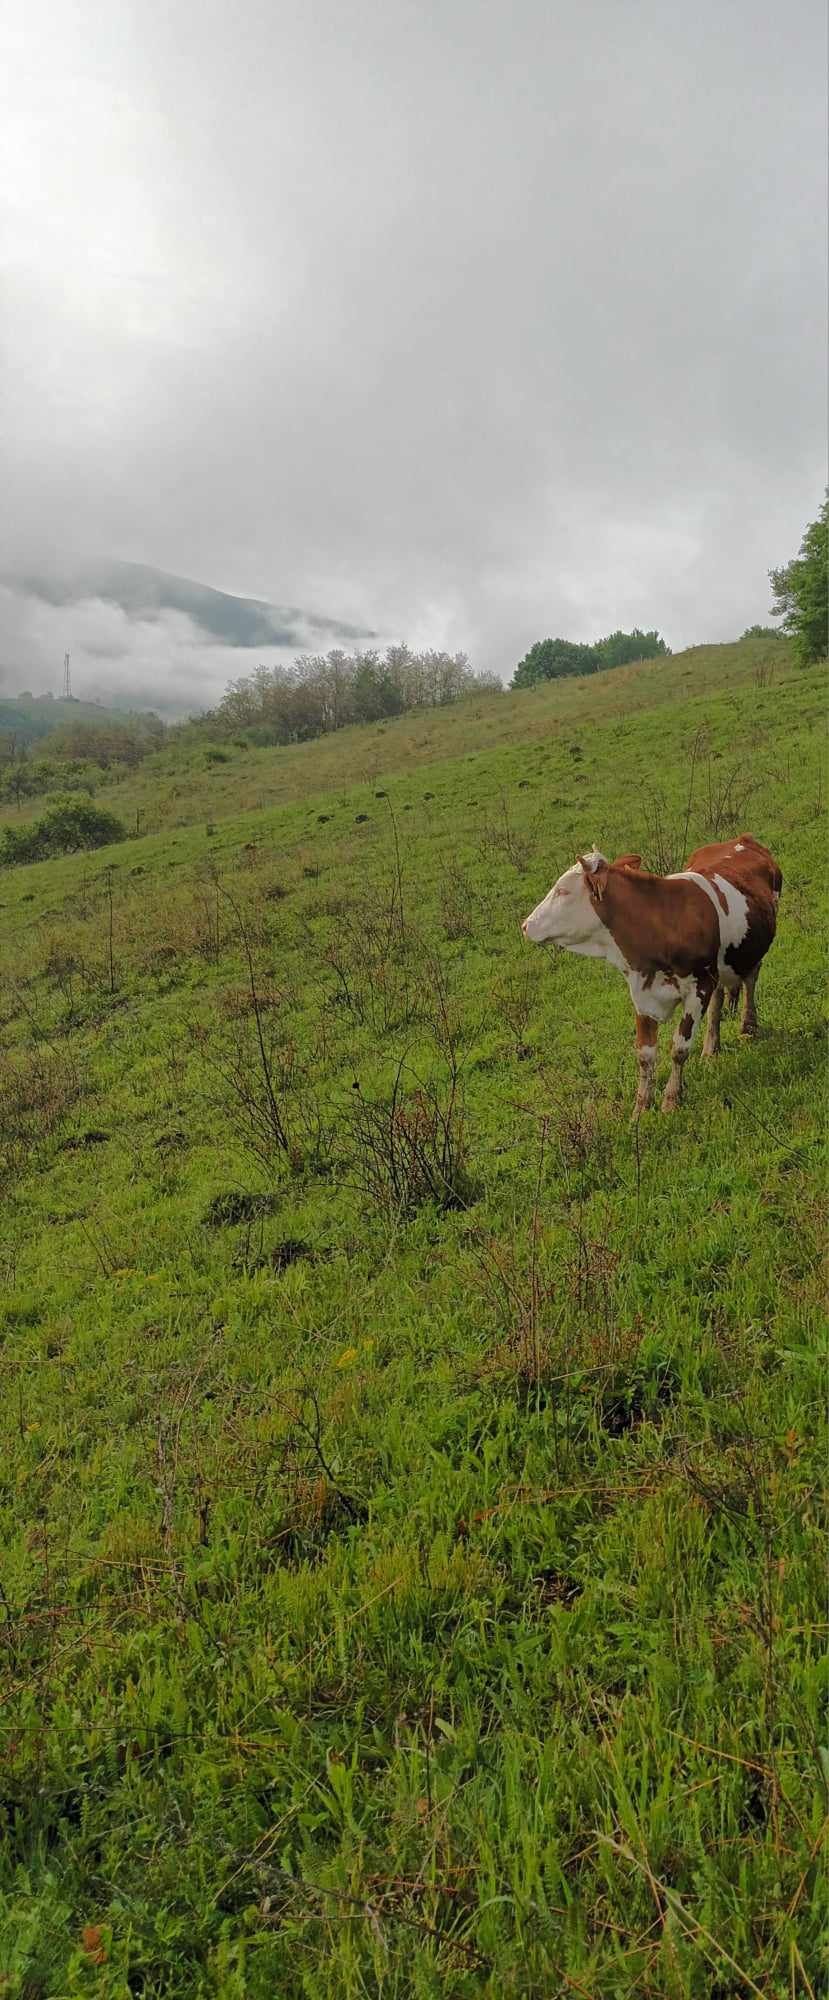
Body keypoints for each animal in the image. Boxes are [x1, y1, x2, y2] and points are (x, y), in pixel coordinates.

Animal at [524, 828, 784, 1112]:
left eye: (562, 891)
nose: (525, 925)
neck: (661, 924)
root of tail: (740, 838)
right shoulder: (642, 993)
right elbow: (645, 1055)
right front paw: (640, 1109)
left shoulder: (699, 986)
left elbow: (679, 1048)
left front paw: (671, 1100)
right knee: (719, 1001)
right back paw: (710, 1049)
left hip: (751, 950)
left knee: (750, 979)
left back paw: (748, 1027)